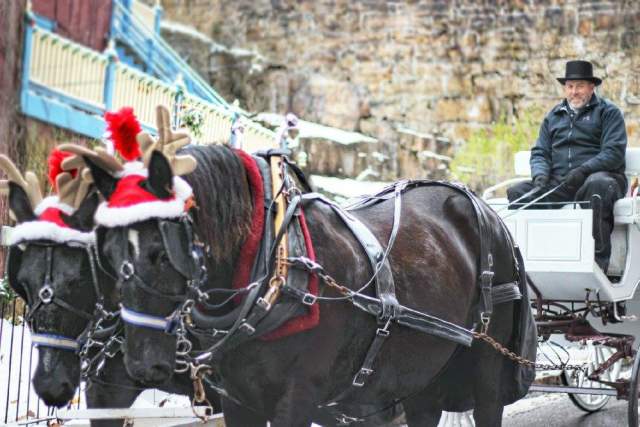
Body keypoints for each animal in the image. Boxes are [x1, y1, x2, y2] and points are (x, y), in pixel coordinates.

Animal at [85, 144, 534, 426]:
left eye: (164, 253)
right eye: (107, 253)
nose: (141, 362)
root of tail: (483, 209)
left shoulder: (298, 397)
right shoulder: (237, 401)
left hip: (486, 366)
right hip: (423, 371)